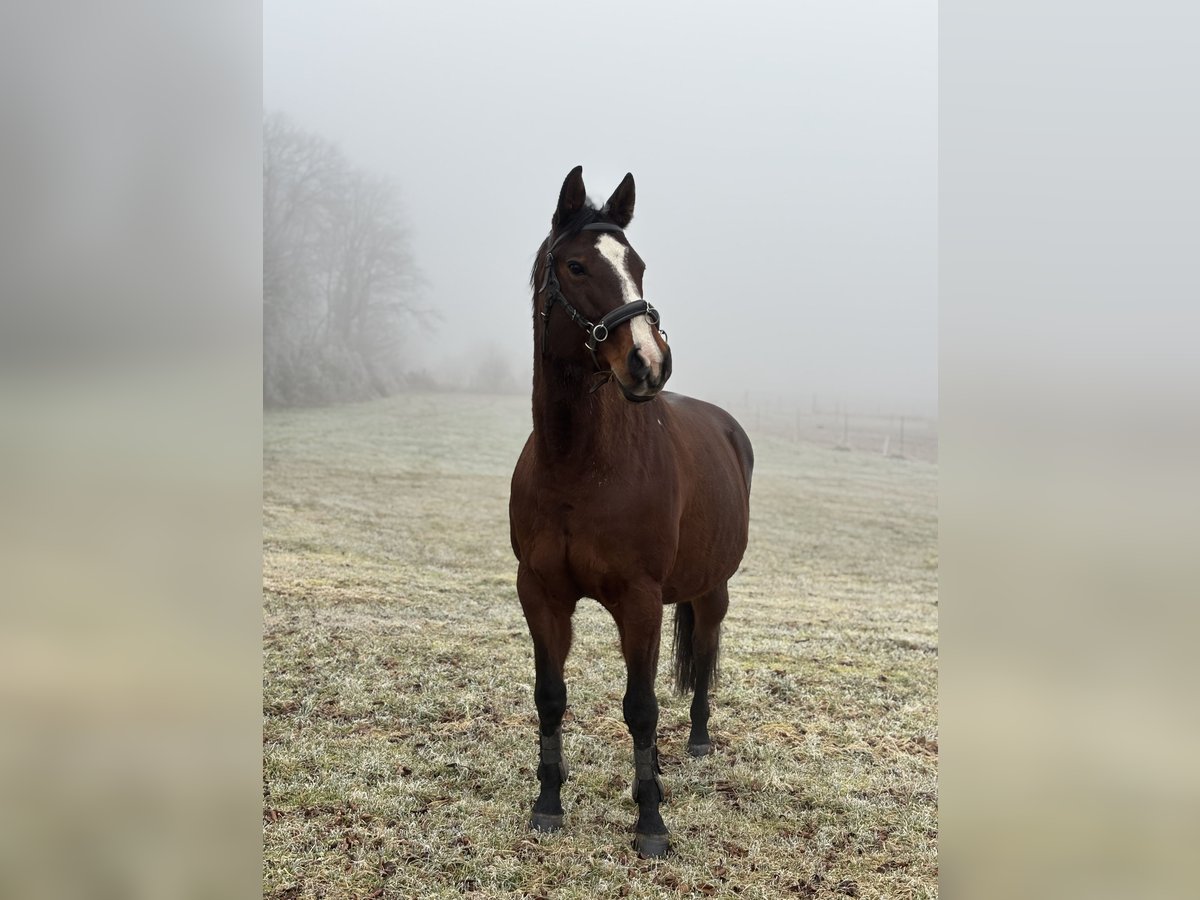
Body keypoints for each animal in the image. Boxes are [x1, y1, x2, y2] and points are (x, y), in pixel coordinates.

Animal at [508, 166, 753, 858]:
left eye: (637, 265)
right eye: (575, 266)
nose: (649, 362)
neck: (579, 466)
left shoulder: (640, 600)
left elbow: (640, 708)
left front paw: (650, 822)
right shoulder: (541, 594)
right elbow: (550, 697)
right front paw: (548, 802)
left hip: (711, 588)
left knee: (704, 655)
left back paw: (696, 741)